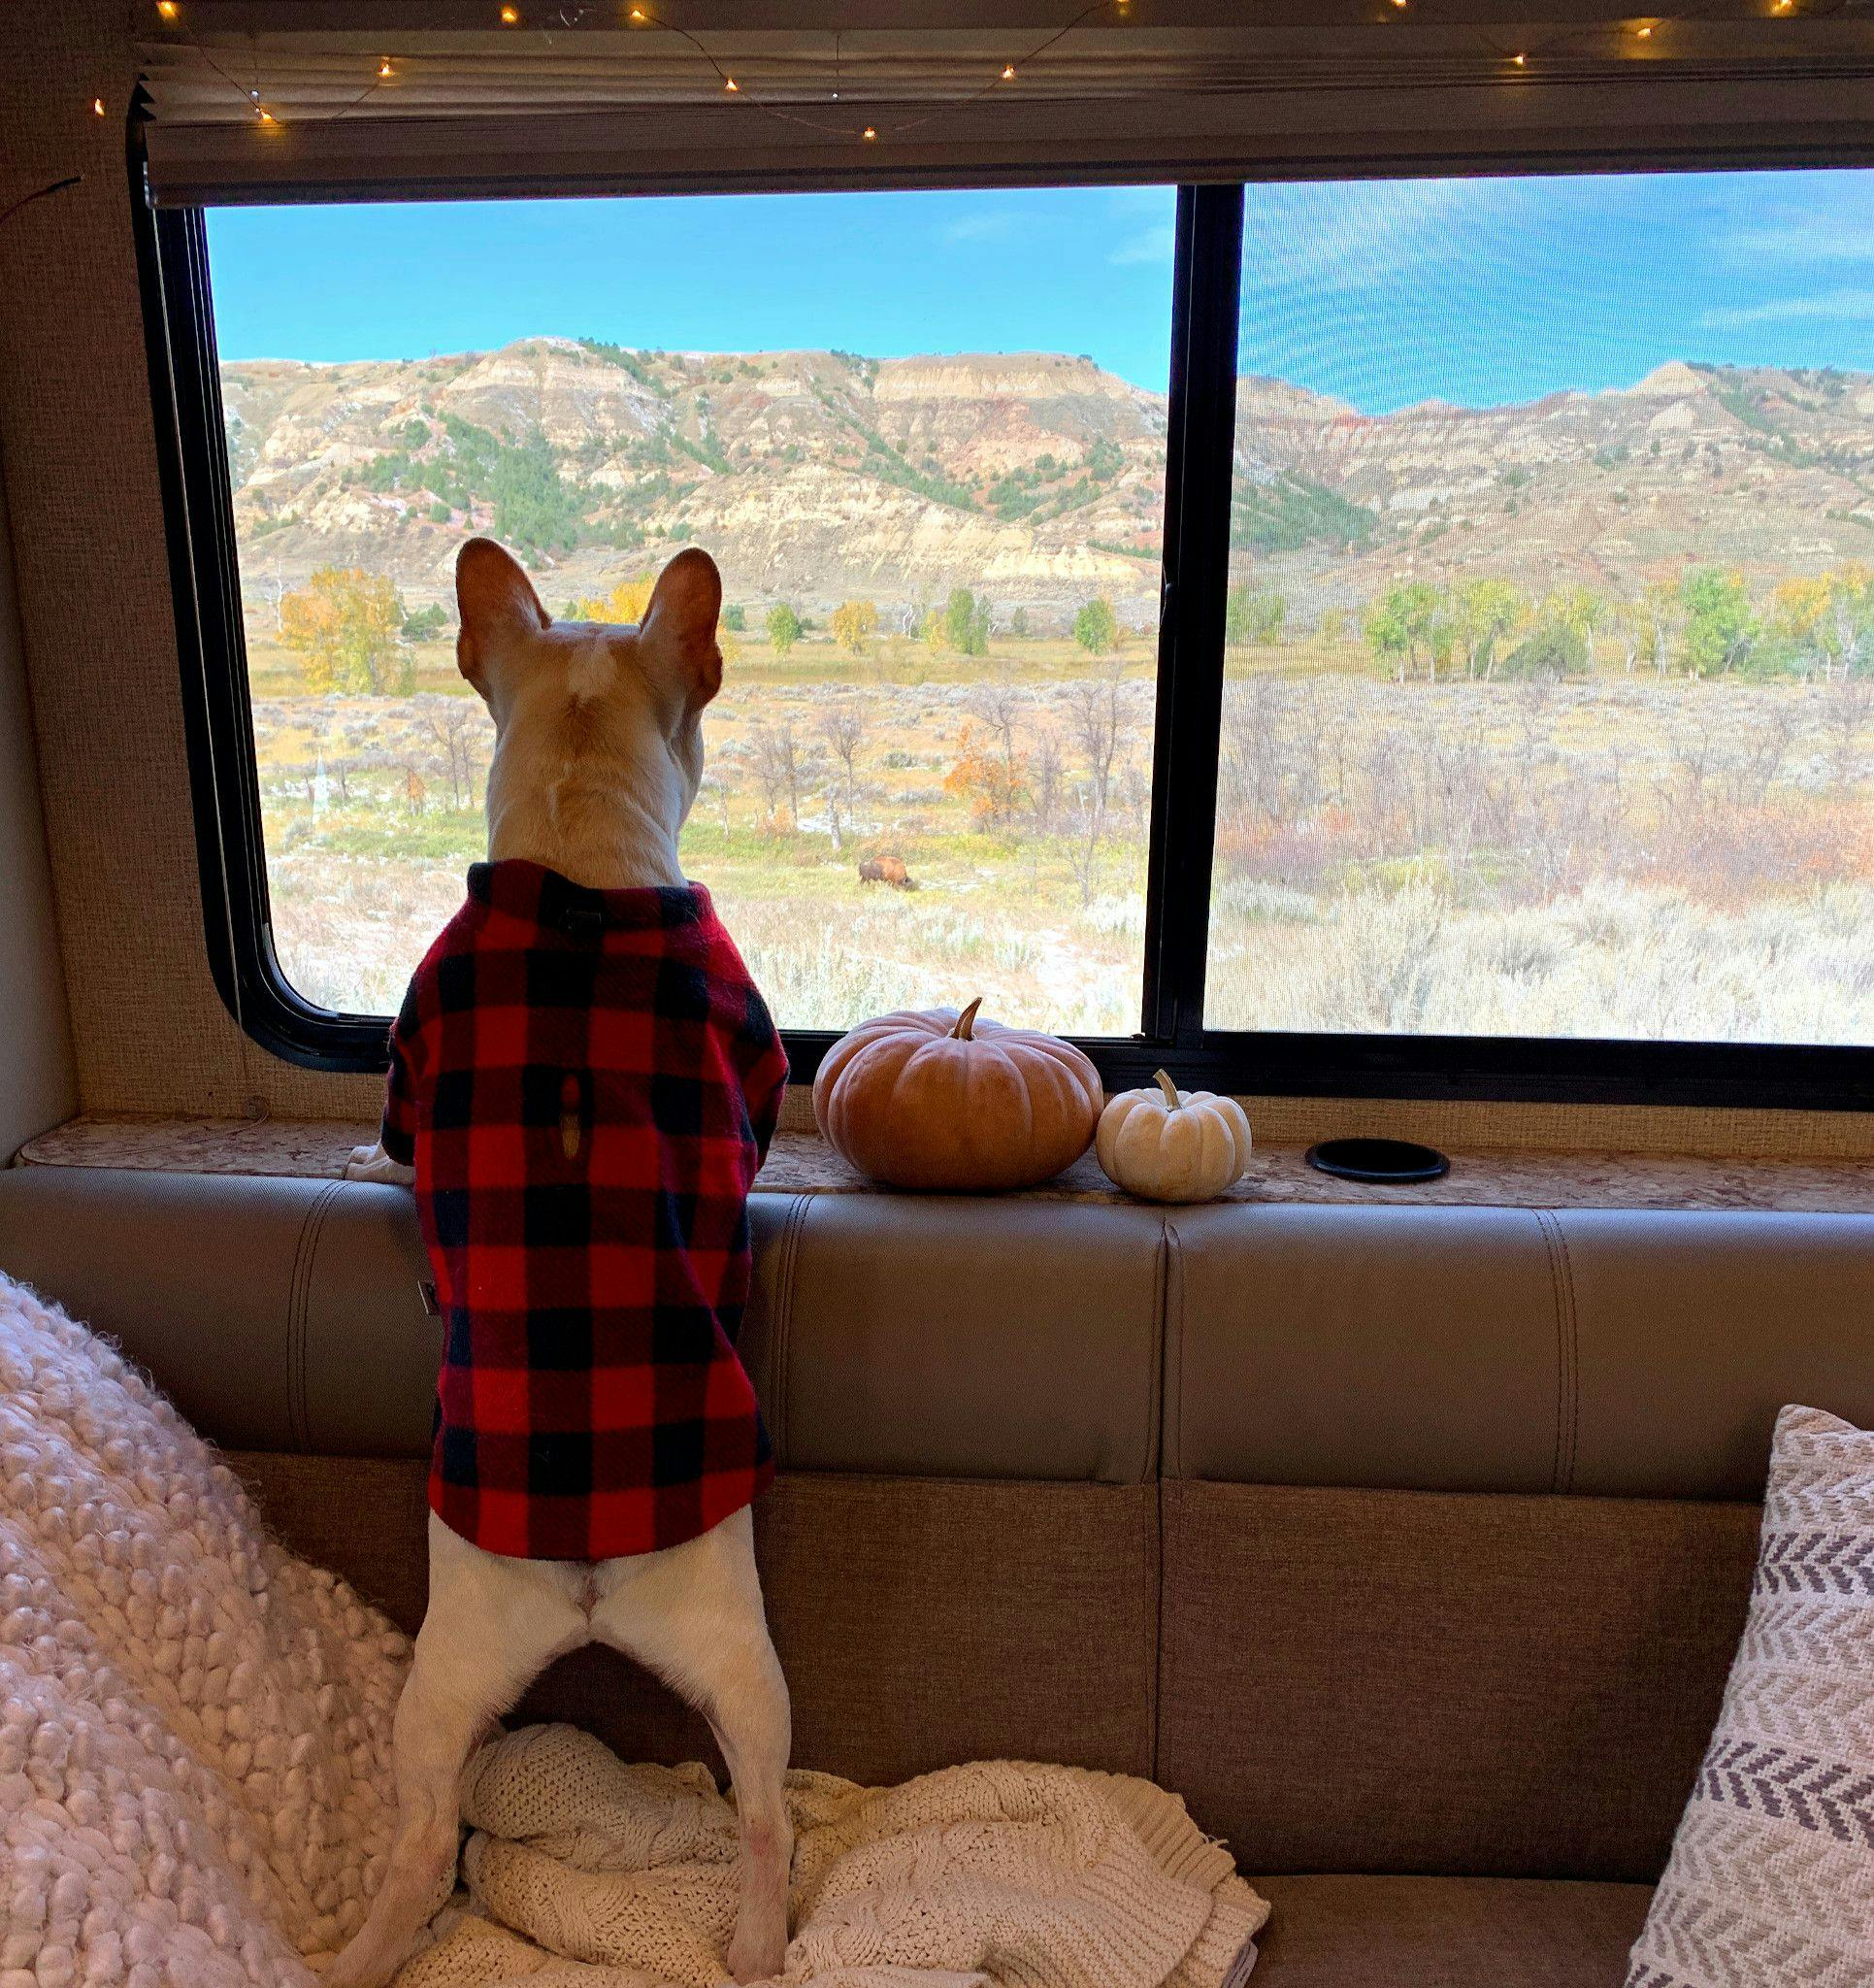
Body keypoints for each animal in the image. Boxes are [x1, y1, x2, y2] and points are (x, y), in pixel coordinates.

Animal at [327, 541, 790, 1988]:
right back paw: (756, 1935)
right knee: (757, 1812)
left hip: (480, 1684)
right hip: (707, 1656)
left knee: (435, 1837)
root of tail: (585, 1578)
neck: (578, 877)